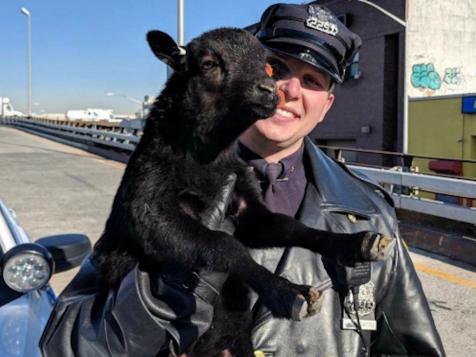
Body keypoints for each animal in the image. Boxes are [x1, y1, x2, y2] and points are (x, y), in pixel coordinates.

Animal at [92, 27, 390, 356]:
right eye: (209, 63)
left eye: (269, 67)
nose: (270, 91)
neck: (210, 159)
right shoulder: (150, 208)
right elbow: (225, 244)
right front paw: (288, 292)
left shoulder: (248, 209)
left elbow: (292, 226)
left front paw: (357, 243)